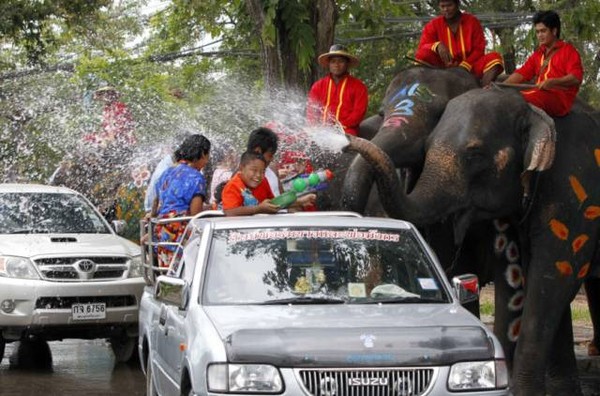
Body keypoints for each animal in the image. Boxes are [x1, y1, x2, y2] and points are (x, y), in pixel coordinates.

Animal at [344, 85, 600, 394]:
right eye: (427, 147)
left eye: (475, 153)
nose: (345, 141)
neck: (530, 105)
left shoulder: (576, 192)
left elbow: (554, 274)